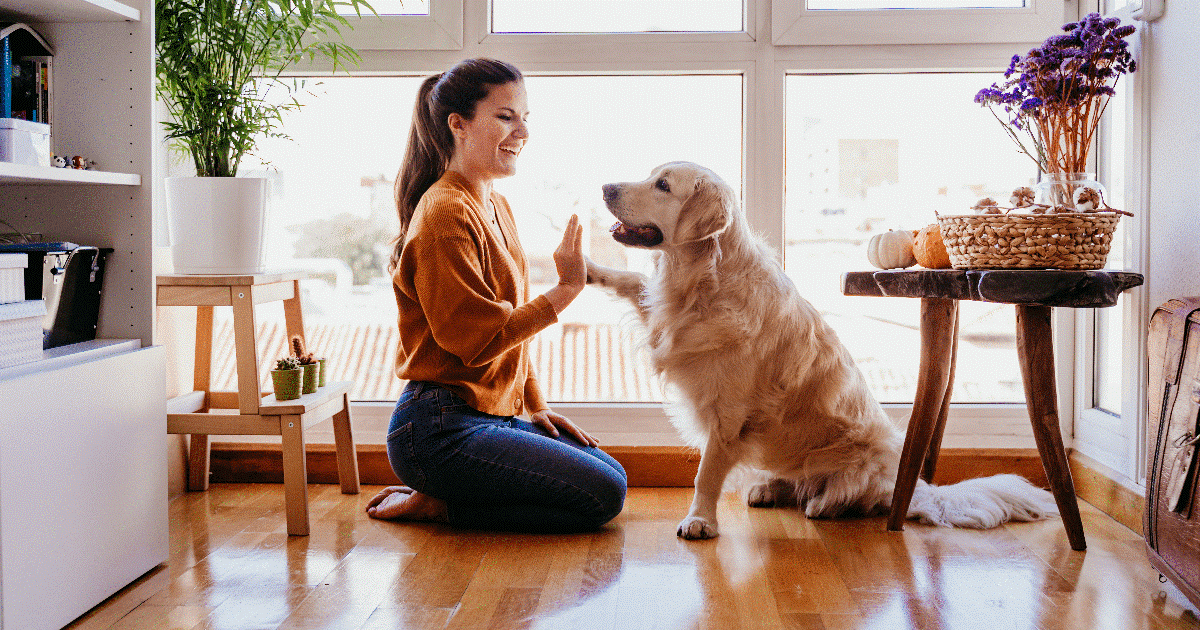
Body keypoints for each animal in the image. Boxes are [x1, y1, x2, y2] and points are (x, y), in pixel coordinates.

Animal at [585, 159, 1056, 537]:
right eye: (651, 175)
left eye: (663, 185)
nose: (605, 187)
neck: (702, 280)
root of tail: (914, 487)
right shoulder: (664, 318)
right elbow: (632, 281)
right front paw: (587, 268)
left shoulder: (728, 414)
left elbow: (706, 474)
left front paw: (700, 520)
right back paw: (769, 488)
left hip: (865, 457)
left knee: (853, 496)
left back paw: (824, 505)